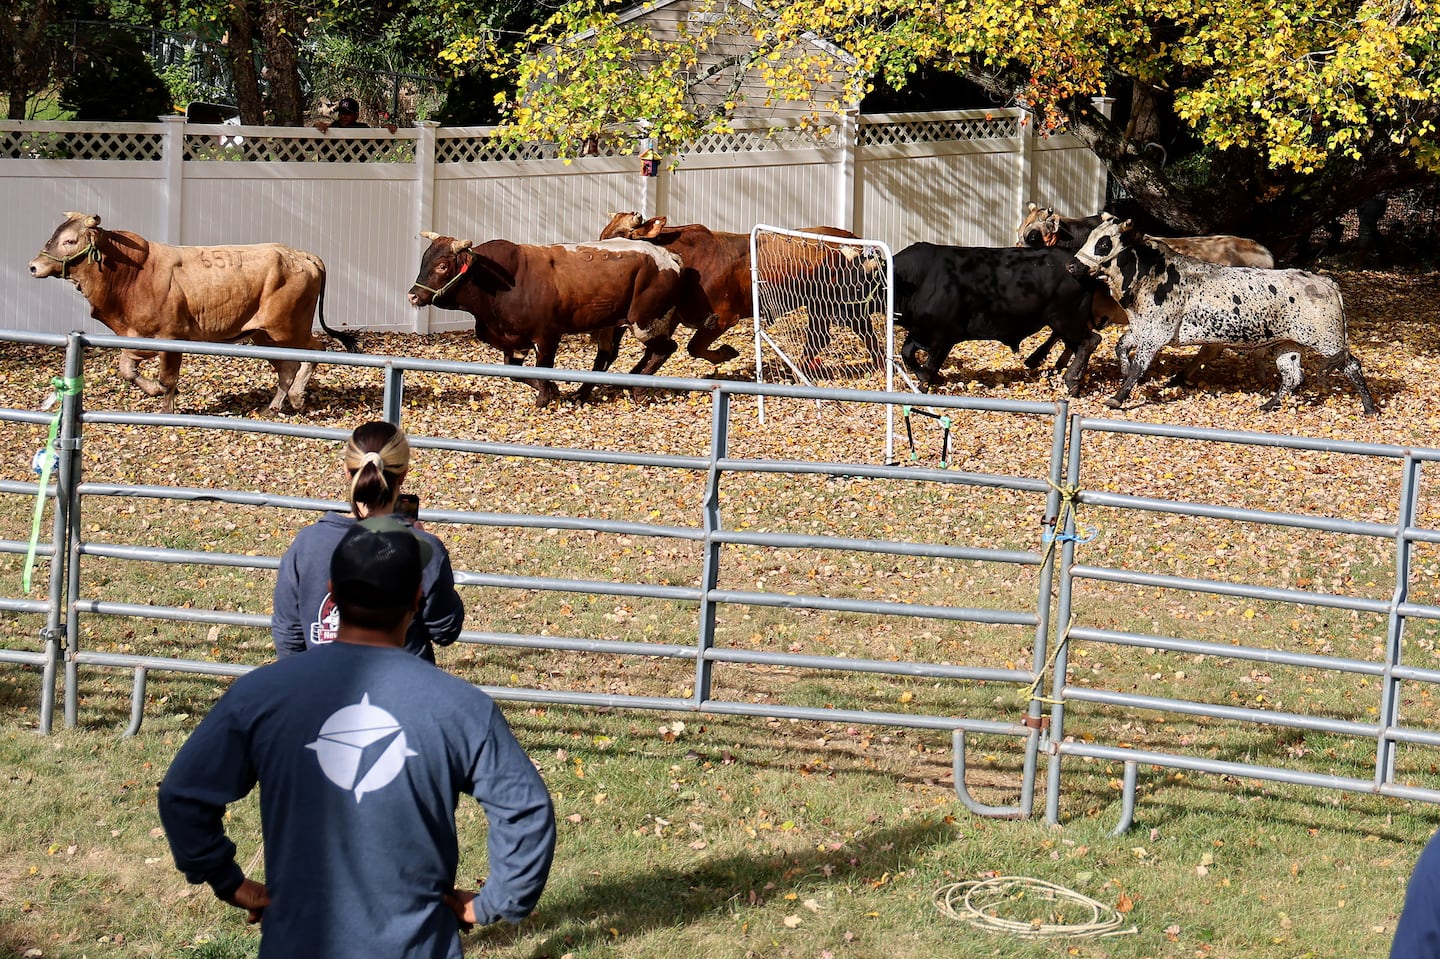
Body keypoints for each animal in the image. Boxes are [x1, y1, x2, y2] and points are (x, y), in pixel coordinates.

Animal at [27, 211, 357, 411]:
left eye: (70, 240)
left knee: (315, 351)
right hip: (266, 336)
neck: (132, 273)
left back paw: (298, 397)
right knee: (288, 367)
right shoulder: (137, 336)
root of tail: (302, 255)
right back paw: (274, 406)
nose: (33, 266)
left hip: (288, 328)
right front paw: (153, 390)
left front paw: (165, 406)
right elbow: (127, 368)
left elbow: (168, 379)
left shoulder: (170, 339)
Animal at [408, 237, 682, 408]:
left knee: (666, 348)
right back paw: (586, 393)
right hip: (614, 323)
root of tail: (668, 256)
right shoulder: (514, 342)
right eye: (423, 261)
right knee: (608, 356)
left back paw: (639, 389)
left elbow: (542, 369)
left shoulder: (547, 336)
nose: (413, 295)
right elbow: (516, 374)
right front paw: (554, 390)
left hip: (646, 321)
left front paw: (544, 399)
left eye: (442, 266)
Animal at [1065, 215, 1376, 414]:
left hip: (1327, 341)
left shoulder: (1155, 336)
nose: (1072, 266)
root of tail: (1324, 281)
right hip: (1287, 345)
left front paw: (1117, 398)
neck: (1155, 273)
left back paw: (1370, 407)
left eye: (1104, 243)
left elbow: (1138, 368)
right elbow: (1121, 348)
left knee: (1352, 366)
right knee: (1293, 376)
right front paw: (1124, 371)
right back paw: (1268, 405)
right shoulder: (1142, 330)